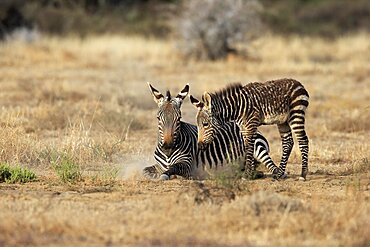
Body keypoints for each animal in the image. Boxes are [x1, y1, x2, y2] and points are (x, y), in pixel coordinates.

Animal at [143, 83, 282, 179]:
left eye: (179, 119)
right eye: (158, 118)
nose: (167, 146)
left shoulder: (186, 163)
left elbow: (173, 169)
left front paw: (168, 175)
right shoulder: (158, 165)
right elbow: (146, 171)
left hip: (258, 148)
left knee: (271, 167)